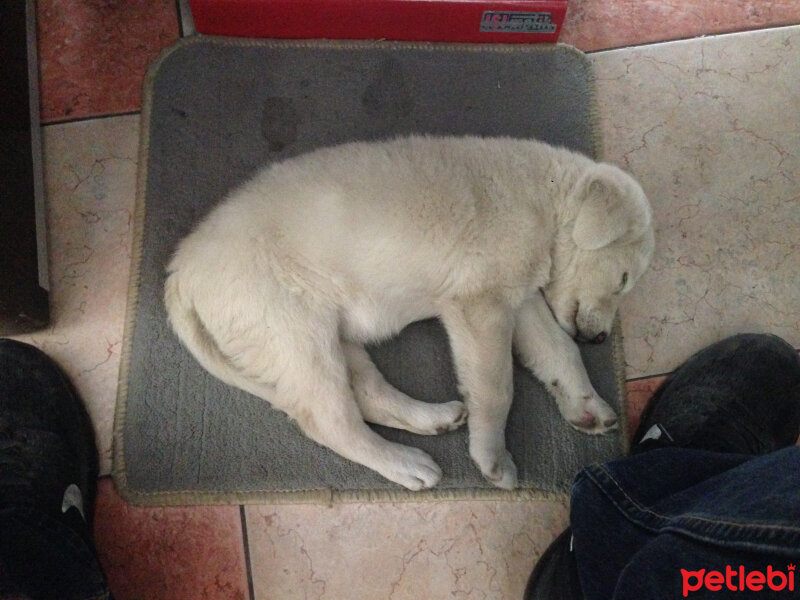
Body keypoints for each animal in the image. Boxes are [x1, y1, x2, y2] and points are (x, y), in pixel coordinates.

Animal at [166, 137, 652, 492]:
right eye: (624, 279)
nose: (600, 341)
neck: (546, 204)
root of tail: (181, 273)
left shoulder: (521, 299)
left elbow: (559, 352)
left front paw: (587, 406)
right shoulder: (481, 306)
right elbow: (496, 388)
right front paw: (493, 458)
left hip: (324, 336)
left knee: (365, 393)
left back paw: (431, 419)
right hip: (293, 331)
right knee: (329, 420)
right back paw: (404, 464)